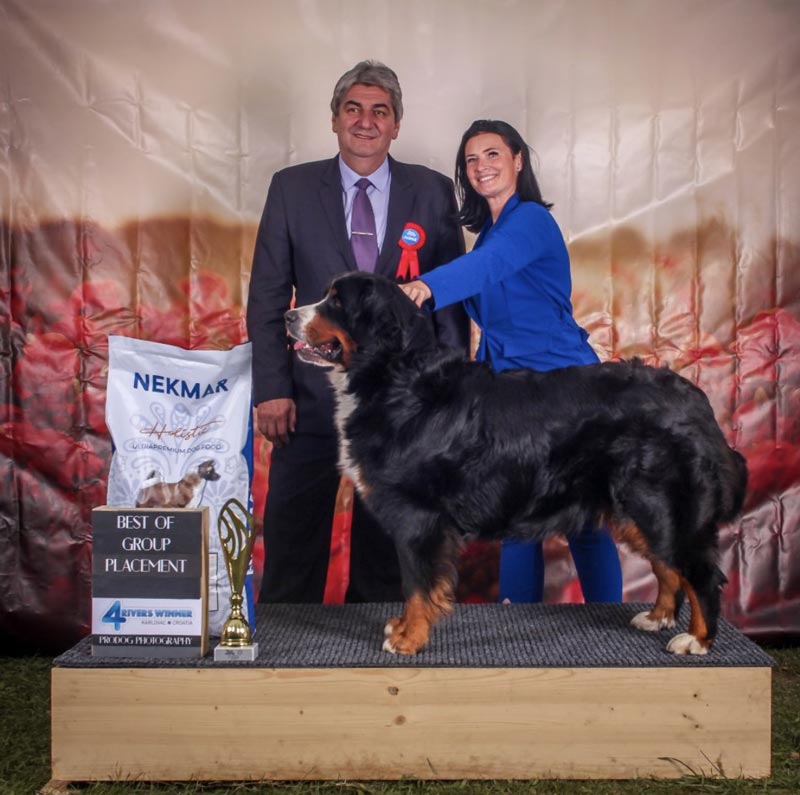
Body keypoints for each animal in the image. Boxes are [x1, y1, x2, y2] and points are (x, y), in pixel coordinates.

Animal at [286, 272, 748, 656]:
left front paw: (408, 638)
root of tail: (695, 399)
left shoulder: (419, 517)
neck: (395, 377)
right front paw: (401, 627)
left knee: (700, 572)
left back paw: (697, 639)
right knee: (667, 566)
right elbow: (416, 584)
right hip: (636, 510)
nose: (289, 315)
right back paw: (657, 617)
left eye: (336, 302)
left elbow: (417, 583)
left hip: (659, 504)